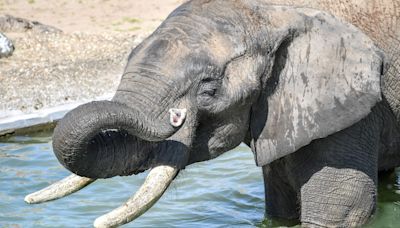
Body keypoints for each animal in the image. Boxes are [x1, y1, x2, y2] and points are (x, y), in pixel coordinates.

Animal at [24, 0, 400, 227]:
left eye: (209, 88)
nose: (175, 118)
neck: (274, 13)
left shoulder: (351, 111)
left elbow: (342, 211)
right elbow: (279, 209)